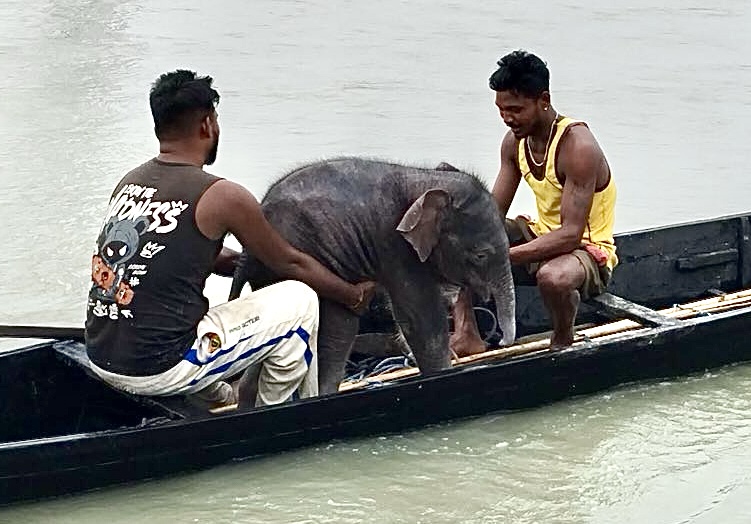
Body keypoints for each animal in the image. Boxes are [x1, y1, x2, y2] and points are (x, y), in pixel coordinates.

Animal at [230, 157, 515, 395]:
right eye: (481, 255)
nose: (501, 341)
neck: (426, 181)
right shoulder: (395, 247)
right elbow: (421, 318)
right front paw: (442, 376)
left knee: (338, 330)